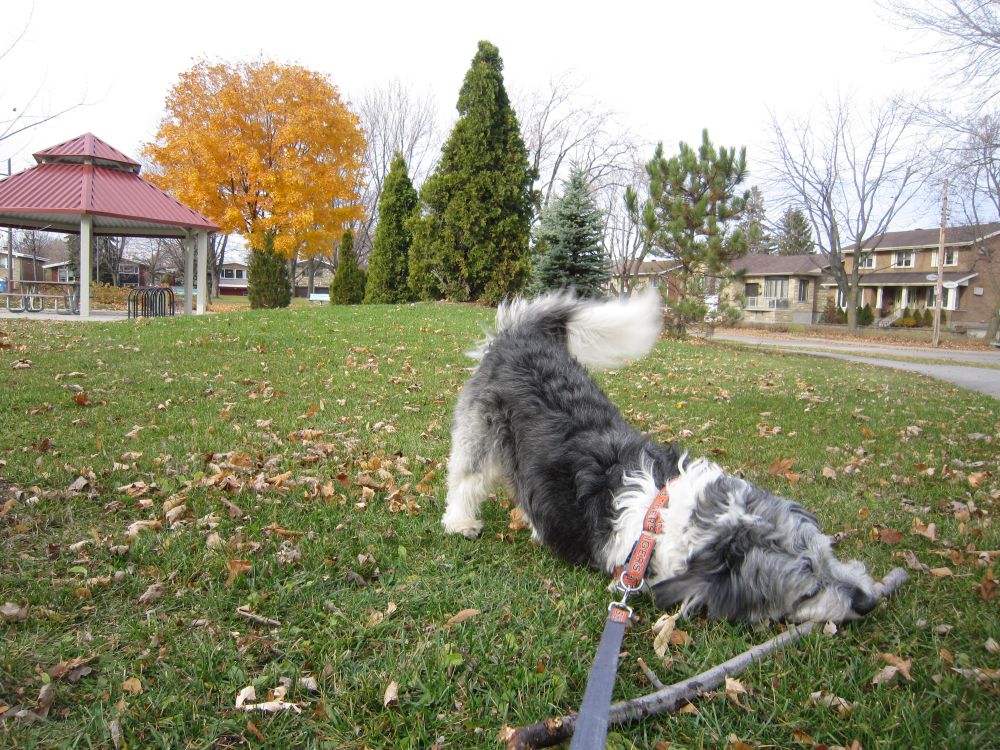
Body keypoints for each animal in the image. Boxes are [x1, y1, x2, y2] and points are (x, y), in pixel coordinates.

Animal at [441, 289, 880, 623]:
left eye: (826, 553)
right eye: (809, 590)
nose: (867, 601)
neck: (664, 514)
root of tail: (522, 335)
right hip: (481, 434)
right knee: (465, 479)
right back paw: (461, 521)